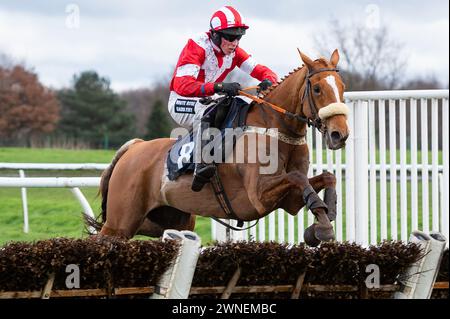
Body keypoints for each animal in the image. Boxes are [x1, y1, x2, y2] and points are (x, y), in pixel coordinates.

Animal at [86, 49, 350, 248]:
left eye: (342, 86)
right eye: (317, 89)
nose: (340, 134)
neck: (274, 128)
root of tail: (134, 148)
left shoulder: (290, 201)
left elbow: (325, 177)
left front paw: (325, 219)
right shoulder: (258, 196)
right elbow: (297, 177)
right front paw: (324, 226)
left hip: (168, 220)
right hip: (120, 222)